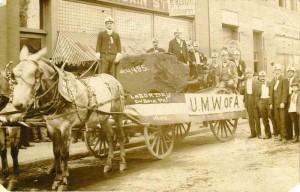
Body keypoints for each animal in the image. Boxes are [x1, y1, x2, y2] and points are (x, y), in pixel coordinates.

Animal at [9, 46, 126, 190]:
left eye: (35, 73)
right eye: (14, 74)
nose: (17, 104)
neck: (59, 95)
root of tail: (111, 78)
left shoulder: (66, 127)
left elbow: (65, 153)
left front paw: (63, 182)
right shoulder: (51, 127)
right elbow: (56, 153)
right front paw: (57, 179)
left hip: (117, 113)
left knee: (120, 136)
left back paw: (122, 163)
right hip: (102, 117)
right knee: (109, 136)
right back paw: (108, 164)